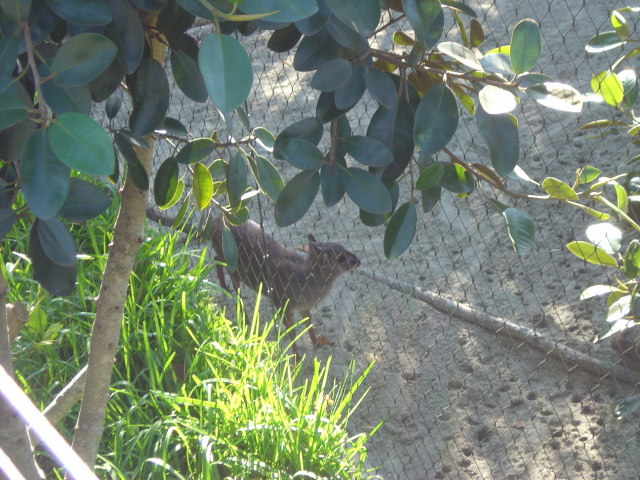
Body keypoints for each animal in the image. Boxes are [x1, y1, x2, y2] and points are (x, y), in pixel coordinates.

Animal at [211, 216, 360, 348]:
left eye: (343, 247)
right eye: (341, 258)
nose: (358, 260)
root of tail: (216, 221)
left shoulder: (304, 306)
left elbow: (309, 323)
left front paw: (317, 343)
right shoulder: (282, 304)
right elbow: (292, 332)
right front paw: (296, 358)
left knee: (216, 259)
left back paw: (224, 288)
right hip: (235, 267)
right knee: (233, 281)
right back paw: (243, 316)